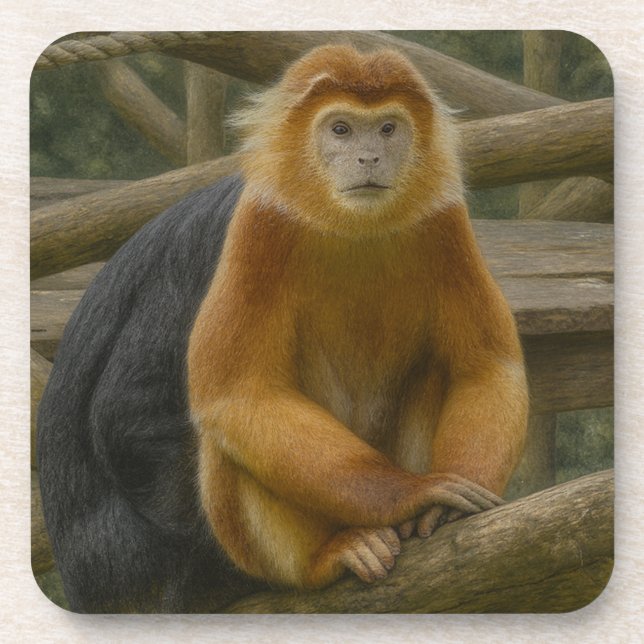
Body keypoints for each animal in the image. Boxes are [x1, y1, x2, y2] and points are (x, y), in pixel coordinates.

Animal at [37, 44, 528, 612]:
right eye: (340, 130)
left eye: (387, 129)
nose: (369, 158)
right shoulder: (251, 229)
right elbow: (172, 407)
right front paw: (412, 495)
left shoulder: (442, 220)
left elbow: (487, 368)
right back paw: (327, 556)